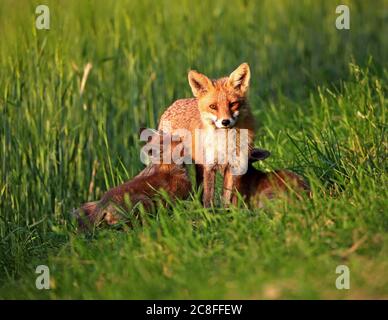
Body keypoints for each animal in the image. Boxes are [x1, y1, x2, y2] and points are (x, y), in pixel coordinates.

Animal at [159, 62, 256, 208]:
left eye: (233, 104)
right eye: (213, 106)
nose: (225, 121)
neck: (225, 142)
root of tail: (174, 103)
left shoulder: (231, 166)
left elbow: (226, 196)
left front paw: (226, 211)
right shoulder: (209, 166)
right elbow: (209, 197)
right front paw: (209, 213)